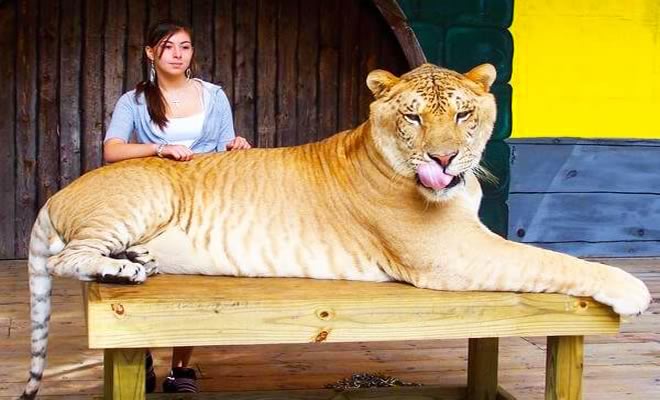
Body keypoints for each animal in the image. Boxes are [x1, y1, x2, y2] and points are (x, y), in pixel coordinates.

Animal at [21, 63, 651, 399]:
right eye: (414, 116)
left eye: (463, 114)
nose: (444, 159)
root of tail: (58, 192)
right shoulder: (449, 255)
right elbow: (548, 258)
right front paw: (631, 288)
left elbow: (543, 253)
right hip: (147, 195)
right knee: (66, 259)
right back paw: (123, 270)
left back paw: (135, 260)